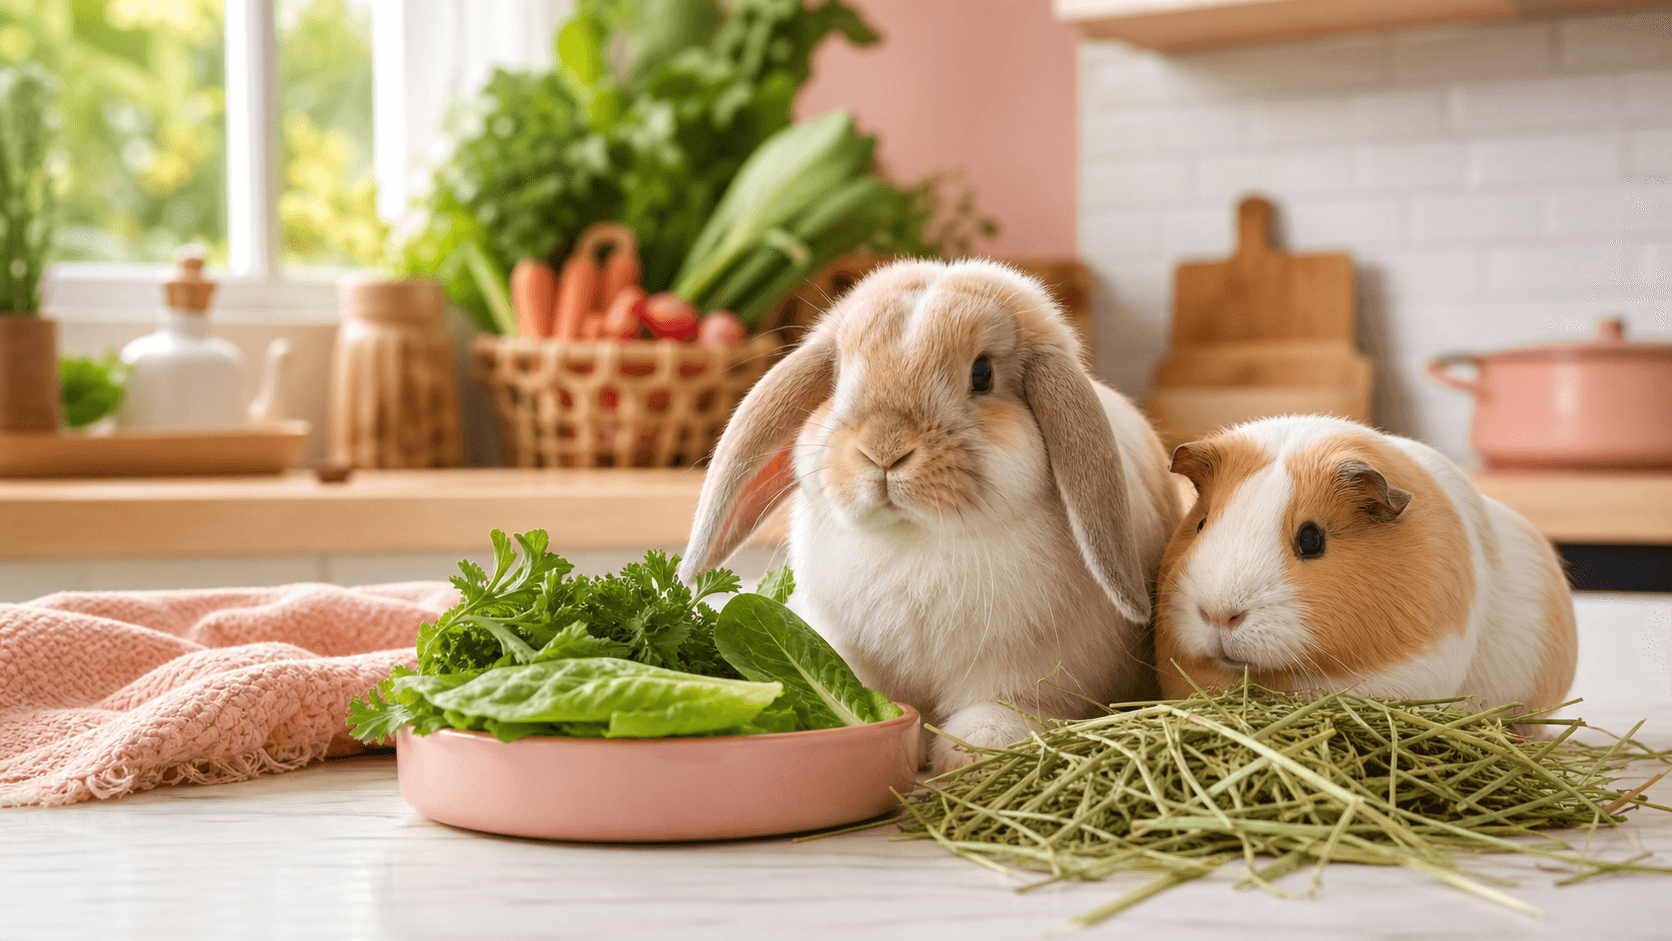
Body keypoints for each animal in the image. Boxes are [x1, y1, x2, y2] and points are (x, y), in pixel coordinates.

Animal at [680, 259, 1182, 772]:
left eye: (982, 373)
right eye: (838, 379)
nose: (883, 449)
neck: (914, 538)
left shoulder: (1022, 674)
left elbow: (1004, 707)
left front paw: (972, 747)